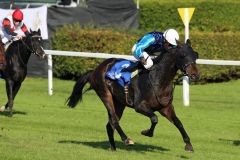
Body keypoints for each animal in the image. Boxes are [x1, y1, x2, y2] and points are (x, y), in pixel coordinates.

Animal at [67, 39, 199, 152]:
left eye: (195, 55)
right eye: (183, 55)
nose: (195, 75)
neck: (158, 80)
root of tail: (94, 70)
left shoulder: (165, 108)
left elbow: (178, 123)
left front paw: (188, 145)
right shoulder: (140, 106)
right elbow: (154, 118)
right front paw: (147, 132)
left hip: (119, 103)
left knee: (110, 124)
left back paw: (113, 148)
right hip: (105, 95)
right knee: (114, 120)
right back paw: (126, 139)